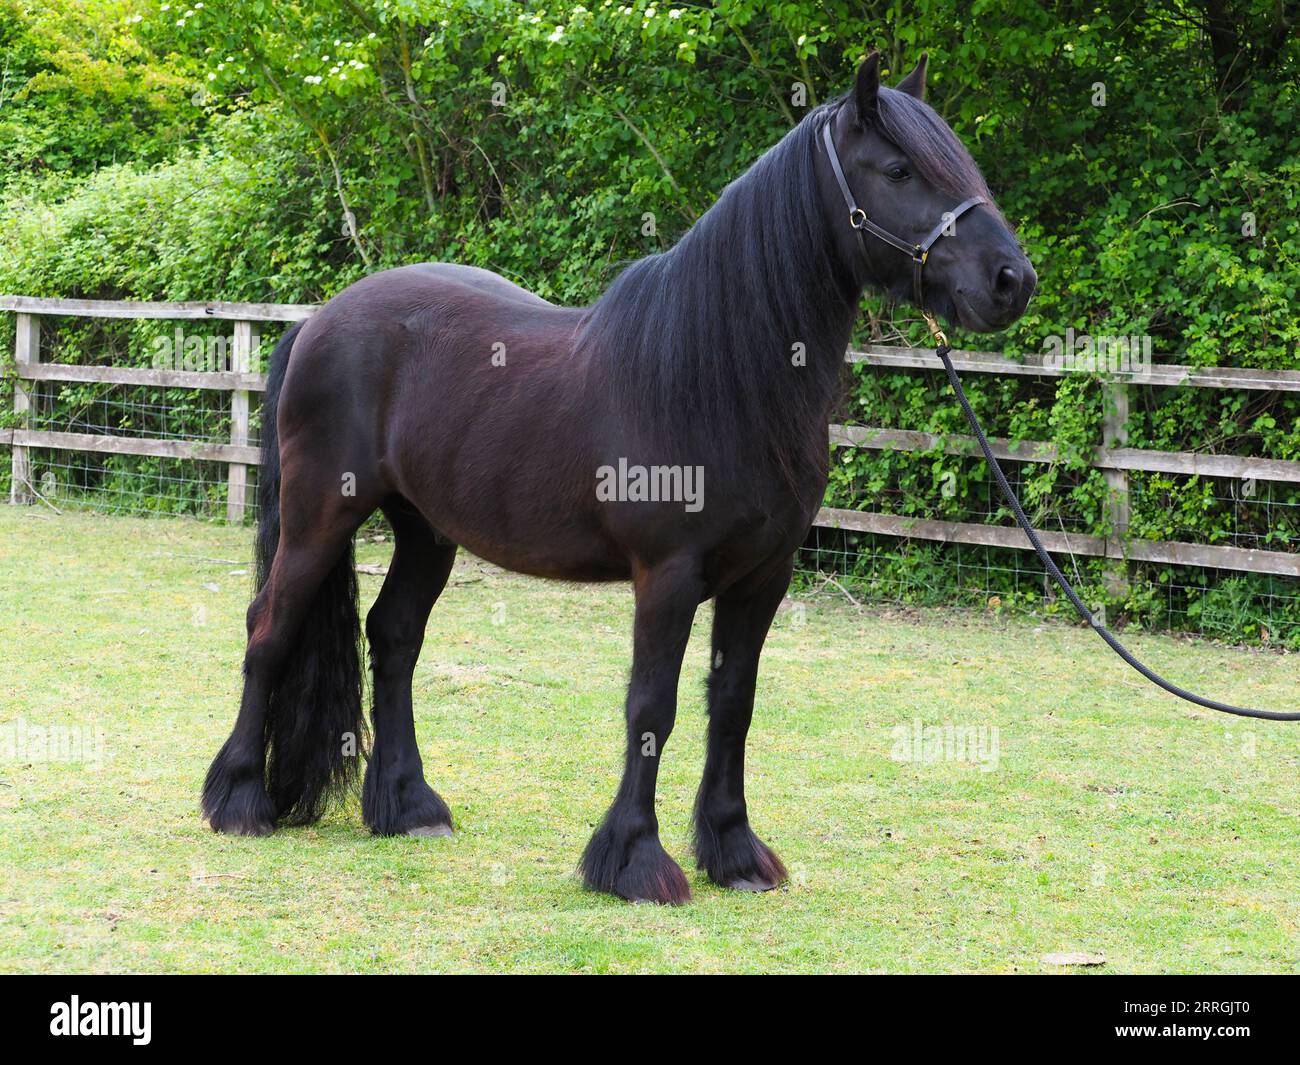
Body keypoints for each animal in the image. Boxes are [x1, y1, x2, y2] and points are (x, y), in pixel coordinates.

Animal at [205, 47, 1034, 899]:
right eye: (899, 168)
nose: (1012, 280)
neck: (718, 374)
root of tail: (318, 321)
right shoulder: (666, 575)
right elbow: (651, 708)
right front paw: (634, 859)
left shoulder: (762, 577)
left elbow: (733, 703)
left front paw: (734, 851)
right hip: (319, 516)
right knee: (269, 629)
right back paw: (239, 799)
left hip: (427, 531)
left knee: (394, 636)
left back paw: (409, 805)